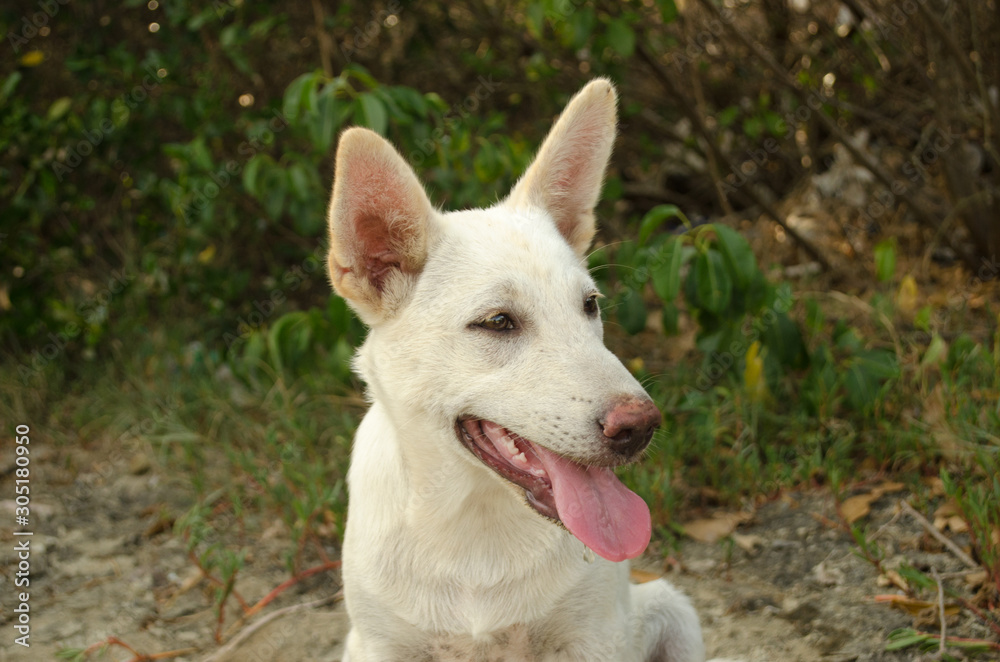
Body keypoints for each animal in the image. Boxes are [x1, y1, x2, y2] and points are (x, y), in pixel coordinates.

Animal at [326, 79, 704, 662]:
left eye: (590, 305)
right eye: (498, 322)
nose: (640, 427)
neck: (476, 527)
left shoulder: (595, 637)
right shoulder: (380, 645)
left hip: (672, 610)